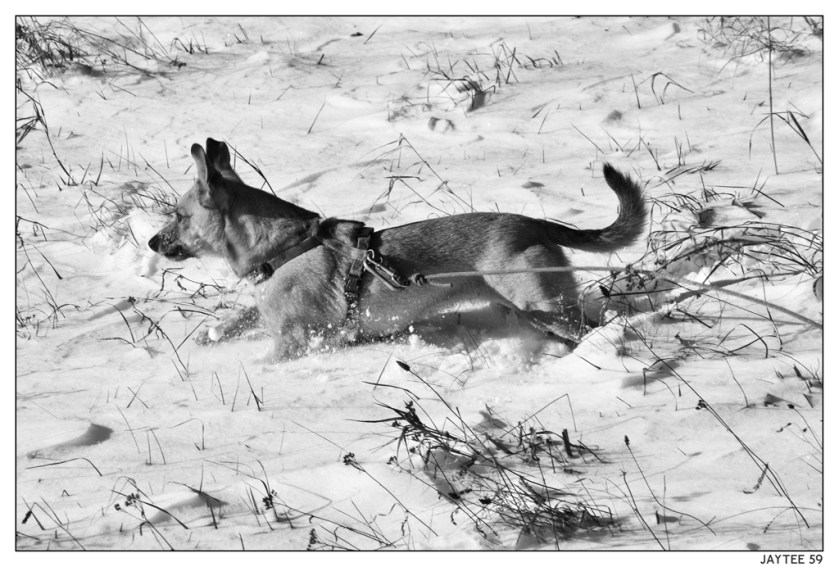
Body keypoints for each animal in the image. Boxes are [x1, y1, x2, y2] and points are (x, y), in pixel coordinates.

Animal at [149, 139, 646, 359]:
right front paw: (209, 336)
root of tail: (534, 223)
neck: (285, 247)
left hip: (543, 306)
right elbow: (236, 319)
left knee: (591, 328)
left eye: (178, 215)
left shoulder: (296, 340)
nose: (153, 242)